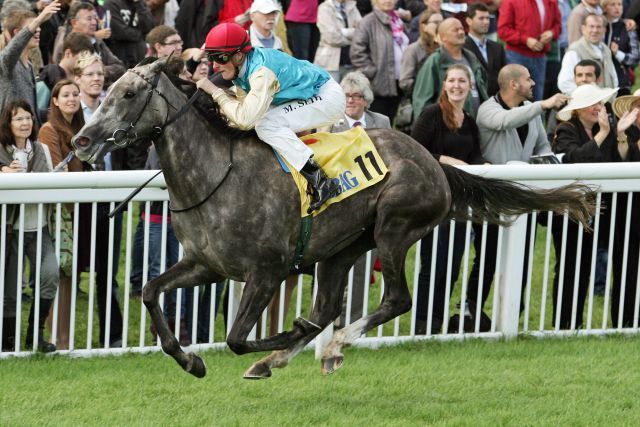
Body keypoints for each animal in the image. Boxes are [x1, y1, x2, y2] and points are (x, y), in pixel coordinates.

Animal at [72, 57, 592, 382]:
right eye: (107, 91)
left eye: (130, 93)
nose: (82, 140)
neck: (216, 175)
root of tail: (432, 160)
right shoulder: (207, 265)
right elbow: (150, 292)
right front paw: (190, 361)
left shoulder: (266, 271)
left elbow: (238, 338)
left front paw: (284, 334)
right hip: (342, 248)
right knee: (327, 307)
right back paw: (284, 357)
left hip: (394, 227)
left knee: (395, 300)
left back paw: (332, 345)